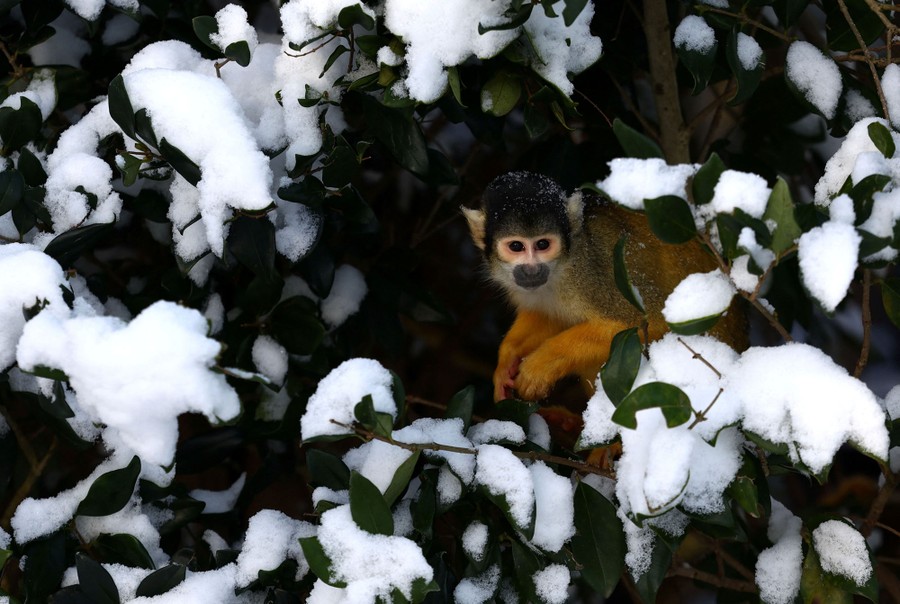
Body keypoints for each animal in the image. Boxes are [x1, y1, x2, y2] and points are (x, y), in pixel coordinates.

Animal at [463, 171, 746, 402]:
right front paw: (506, 358)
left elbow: (652, 322)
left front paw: (541, 365)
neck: (563, 267)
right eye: (516, 246)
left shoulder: (598, 270)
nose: (531, 270)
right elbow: (547, 316)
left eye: (543, 245)